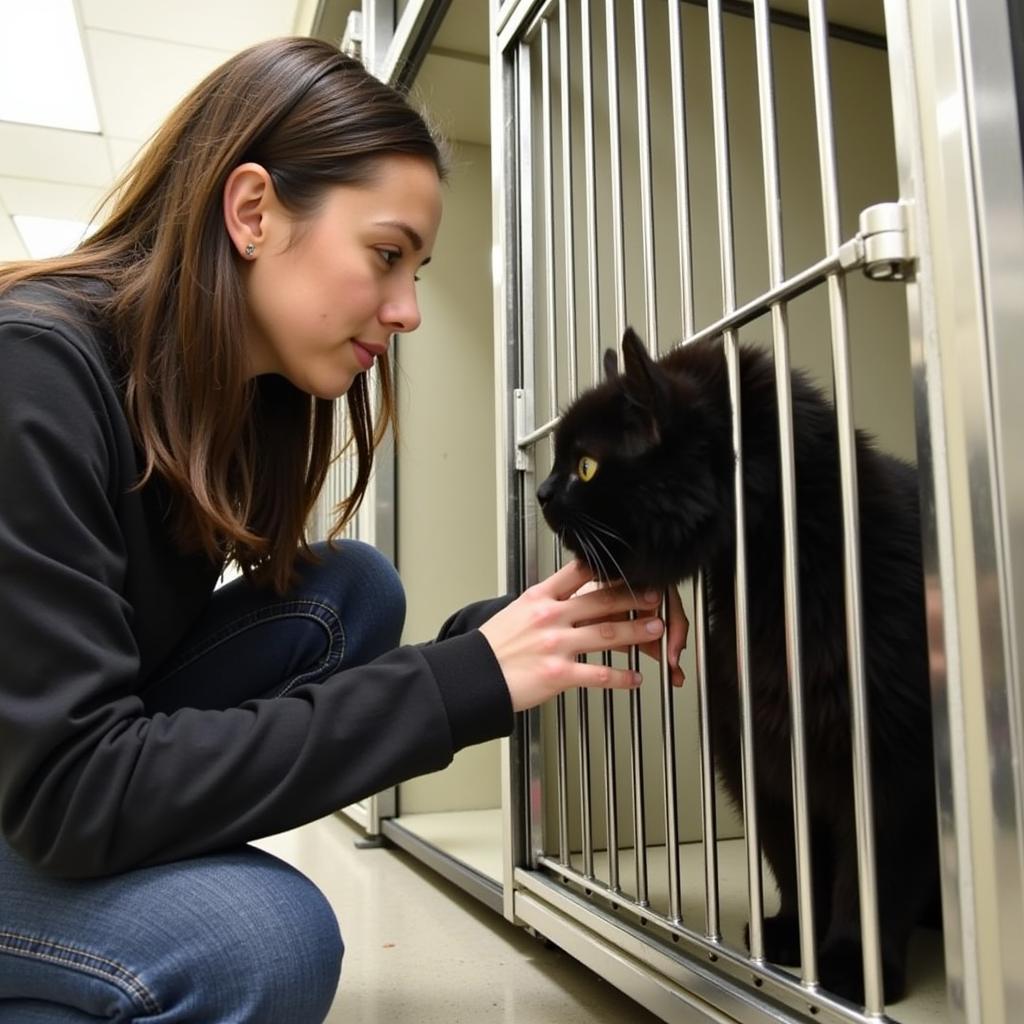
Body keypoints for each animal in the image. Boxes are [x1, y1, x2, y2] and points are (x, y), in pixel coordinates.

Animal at [540, 329, 937, 1007]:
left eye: (585, 466)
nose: (540, 493)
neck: (778, 583)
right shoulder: (759, 756)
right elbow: (795, 860)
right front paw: (794, 940)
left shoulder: (891, 765)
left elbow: (873, 875)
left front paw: (850, 967)